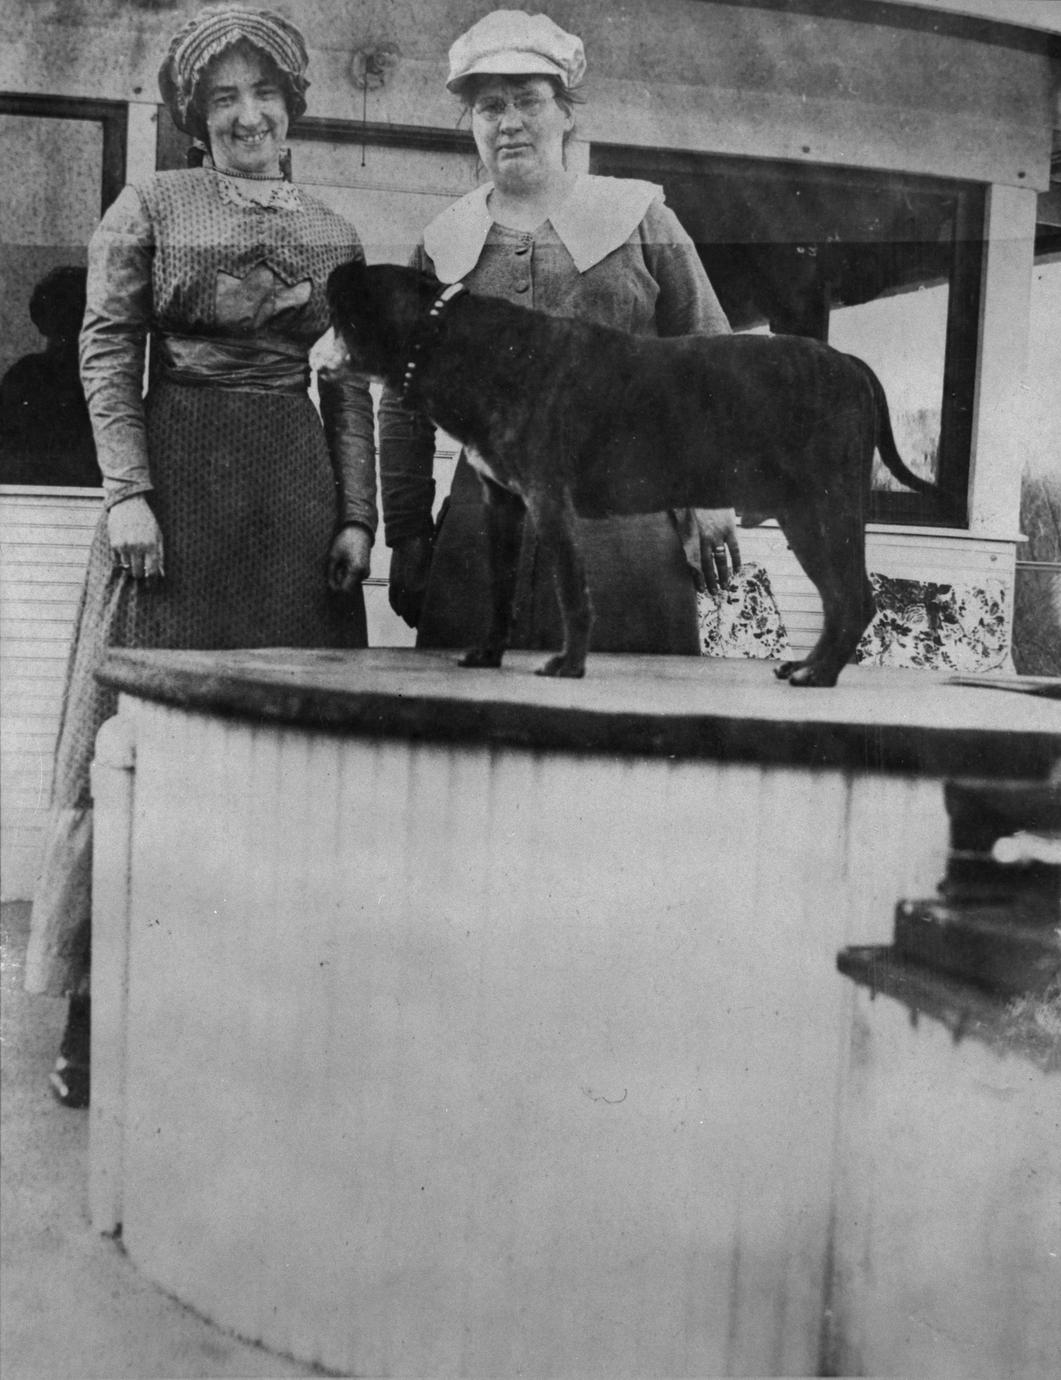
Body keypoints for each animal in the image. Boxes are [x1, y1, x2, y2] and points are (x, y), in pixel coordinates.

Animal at [320, 260, 943, 687]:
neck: (463, 339)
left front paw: (570, 664)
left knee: (854, 599)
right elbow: (500, 591)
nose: (334, 268)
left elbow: (573, 593)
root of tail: (849, 363)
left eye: (343, 303)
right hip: (806, 517)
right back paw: (810, 667)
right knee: (839, 600)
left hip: (824, 508)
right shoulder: (505, 505)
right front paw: (490, 653)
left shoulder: (550, 502)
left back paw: (820, 673)